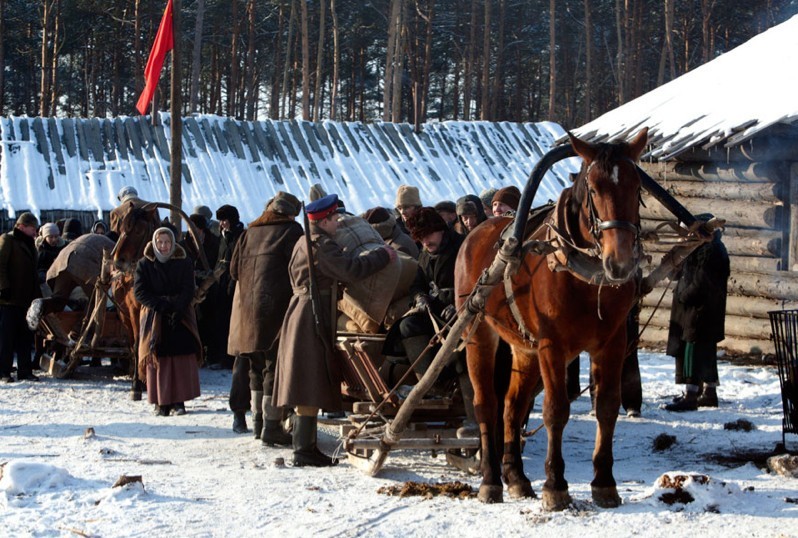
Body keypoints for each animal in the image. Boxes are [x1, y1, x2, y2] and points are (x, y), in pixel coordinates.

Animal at [456, 129, 648, 506]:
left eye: (636, 187)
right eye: (593, 189)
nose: (619, 262)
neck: (583, 277)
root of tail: (476, 232)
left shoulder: (613, 342)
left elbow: (607, 406)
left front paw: (605, 482)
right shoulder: (552, 346)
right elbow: (555, 410)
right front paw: (556, 485)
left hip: (524, 348)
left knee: (511, 407)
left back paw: (516, 476)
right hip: (479, 333)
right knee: (486, 404)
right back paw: (491, 480)